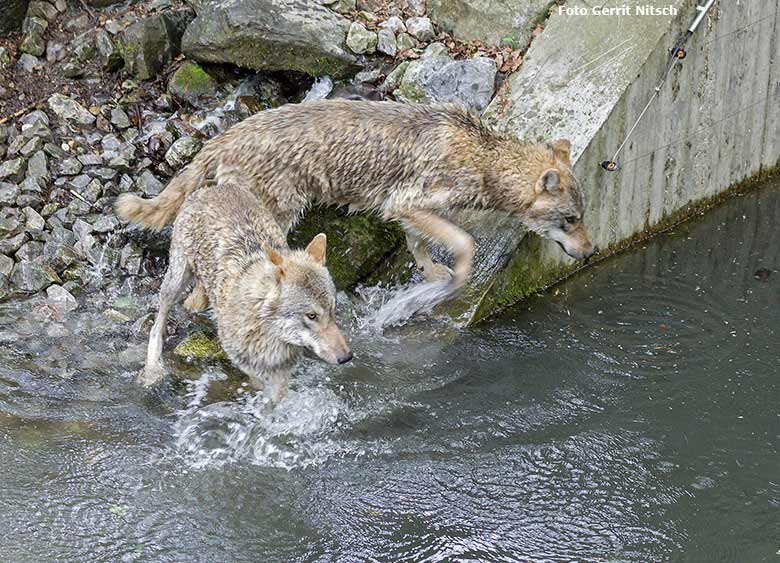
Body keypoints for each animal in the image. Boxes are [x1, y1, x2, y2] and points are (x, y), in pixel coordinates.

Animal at [116, 99, 596, 298]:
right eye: (571, 220)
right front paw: (456, 276)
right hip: (275, 218)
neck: (485, 158)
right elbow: (464, 242)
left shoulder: (407, 209)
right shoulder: (408, 202)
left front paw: (431, 273)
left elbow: (418, 244)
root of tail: (225, 136)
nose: (591, 251)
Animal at [137, 181, 350, 400]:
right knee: (157, 325)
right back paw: (152, 370)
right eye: (312, 316)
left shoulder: (283, 371)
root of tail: (213, 188)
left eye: (333, 310)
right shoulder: (246, 362)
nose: (347, 357)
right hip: (175, 282)